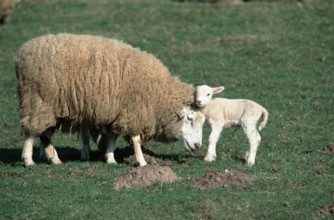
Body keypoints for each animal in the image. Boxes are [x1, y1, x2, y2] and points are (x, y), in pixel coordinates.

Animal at [16, 33, 206, 166]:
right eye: (189, 119)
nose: (198, 146)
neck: (157, 95)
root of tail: (21, 54)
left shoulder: (119, 111)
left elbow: (113, 135)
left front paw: (110, 158)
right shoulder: (133, 110)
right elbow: (136, 139)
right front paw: (142, 162)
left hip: (45, 104)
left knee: (43, 131)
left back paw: (51, 158)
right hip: (39, 100)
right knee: (32, 131)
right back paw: (30, 160)